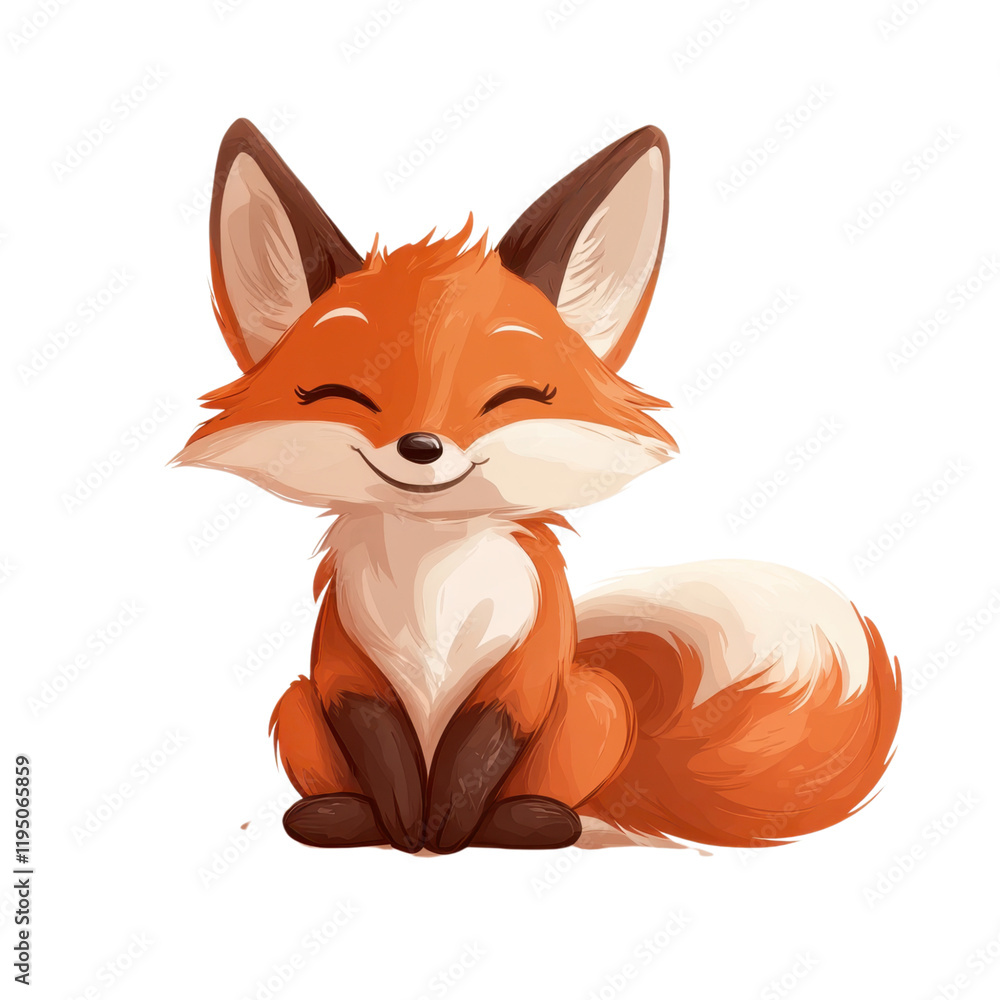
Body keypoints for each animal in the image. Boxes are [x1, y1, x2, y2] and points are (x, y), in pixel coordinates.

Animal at [174, 119, 901, 854]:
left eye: (512, 397)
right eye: (339, 394)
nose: (421, 447)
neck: (433, 574)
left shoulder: (528, 666)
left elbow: (486, 739)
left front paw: (448, 827)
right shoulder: (343, 667)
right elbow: (378, 738)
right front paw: (409, 826)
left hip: (594, 705)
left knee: (551, 790)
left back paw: (529, 820)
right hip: (294, 704)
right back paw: (339, 816)